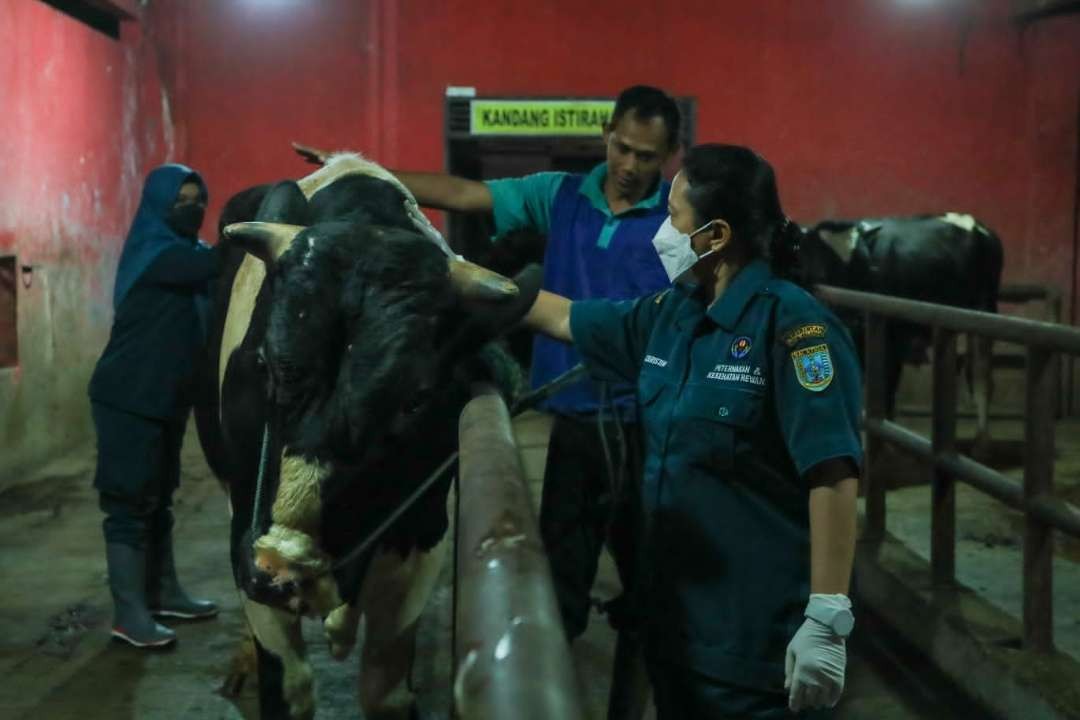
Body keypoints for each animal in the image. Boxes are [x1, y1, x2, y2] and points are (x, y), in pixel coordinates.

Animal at [195, 155, 540, 720]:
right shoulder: (244, 526)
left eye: (416, 398)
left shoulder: (420, 534)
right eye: (265, 362)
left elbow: (384, 687)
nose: (282, 566)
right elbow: (288, 684)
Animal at [799, 213, 997, 451]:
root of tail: (976, 224)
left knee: (982, 374)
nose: (855, 319)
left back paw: (982, 441)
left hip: (985, 309)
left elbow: (885, 392)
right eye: (820, 270)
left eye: (862, 266)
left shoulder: (890, 341)